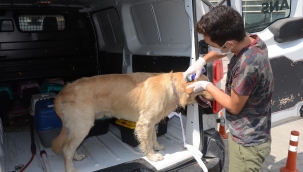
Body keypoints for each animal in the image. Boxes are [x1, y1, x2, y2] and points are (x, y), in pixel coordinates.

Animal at [51, 72, 214, 171]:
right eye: (205, 85)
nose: (216, 95)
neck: (172, 87)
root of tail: (62, 92)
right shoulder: (144, 123)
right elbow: (147, 143)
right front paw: (152, 156)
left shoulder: (151, 122)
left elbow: (153, 137)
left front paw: (157, 147)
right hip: (83, 126)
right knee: (67, 148)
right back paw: (71, 168)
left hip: (74, 127)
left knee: (69, 147)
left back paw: (76, 157)